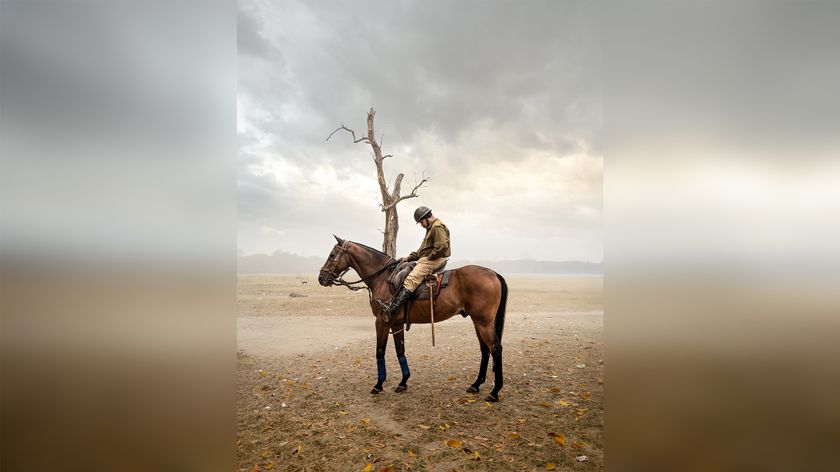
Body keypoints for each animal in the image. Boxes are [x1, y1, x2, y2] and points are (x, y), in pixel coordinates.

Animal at [318, 236, 509, 402]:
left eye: (332, 255)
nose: (321, 278)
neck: (382, 278)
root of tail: (494, 273)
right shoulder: (395, 324)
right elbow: (400, 351)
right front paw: (403, 382)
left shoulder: (382, 322)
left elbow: (380, 351)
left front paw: (378, 385)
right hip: (478, 322)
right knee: (485, 350)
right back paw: (476, 385)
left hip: (483, 323)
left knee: (495, 348)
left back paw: (494, 391)